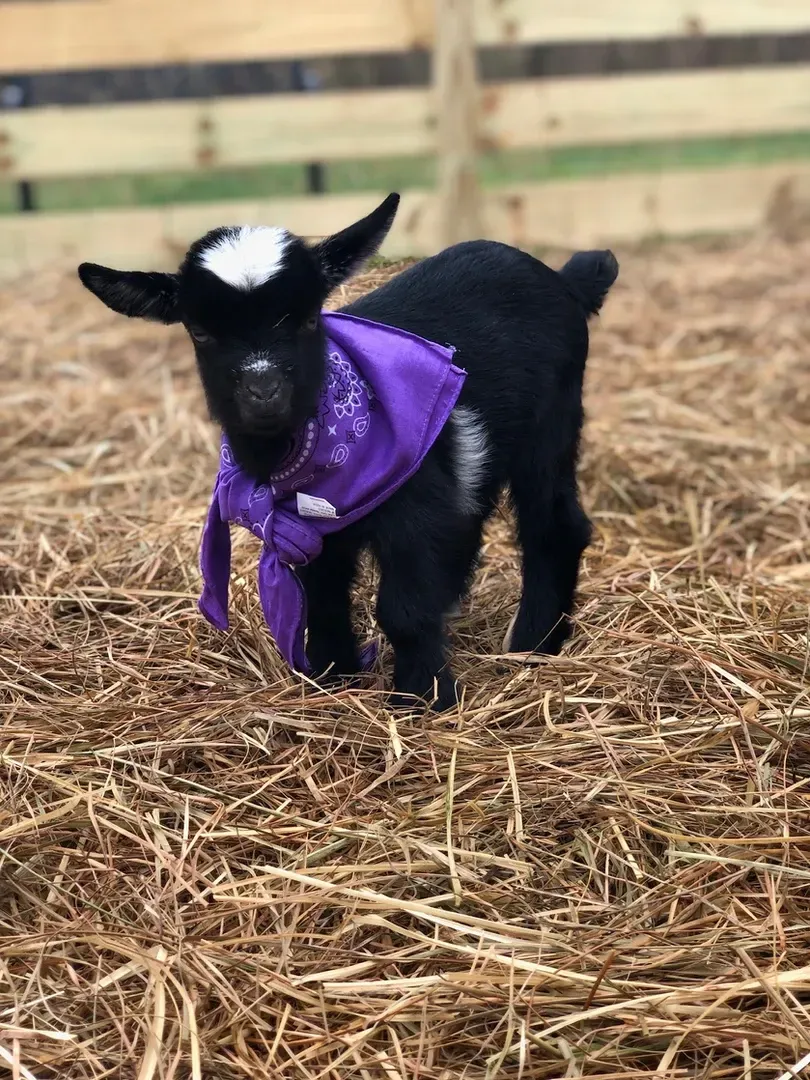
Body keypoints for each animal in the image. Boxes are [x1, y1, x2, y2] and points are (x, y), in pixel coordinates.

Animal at [77, 193, 618, 711]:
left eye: (308, 319)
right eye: (200, 331)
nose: (264, 392)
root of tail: (566, 280)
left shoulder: (412, 508)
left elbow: (403, 608)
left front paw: (422, 699)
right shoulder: (309, 524)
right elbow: (322, 595)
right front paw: (332, 675)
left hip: (551, 426)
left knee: (554, 525)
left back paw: (534, 645)